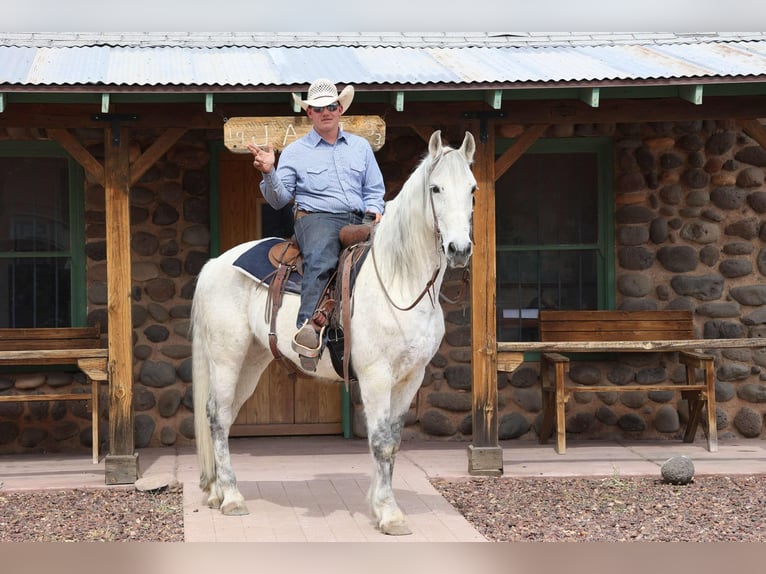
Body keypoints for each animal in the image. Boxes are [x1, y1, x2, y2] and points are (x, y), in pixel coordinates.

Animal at [191, 130, 476, 535]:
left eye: (472, 188)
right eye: (435, 188)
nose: (459, 249)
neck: (399, 279)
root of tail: (215, 264)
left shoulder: (411, 377)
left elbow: (393, 441)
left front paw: (377, 505)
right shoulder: (376, 376)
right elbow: (379, 441)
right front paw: (390, 514)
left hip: (252, 360)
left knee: (225, 416)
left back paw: (217, 492)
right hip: (226, 358)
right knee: (216, 417)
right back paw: (231, 498)